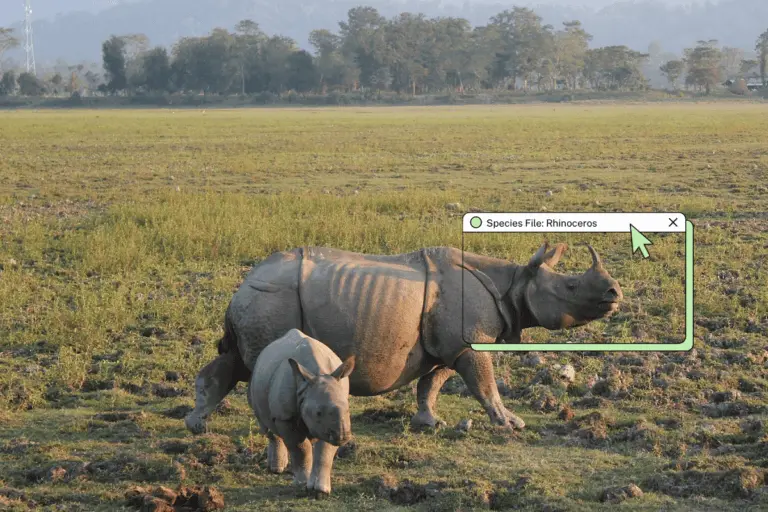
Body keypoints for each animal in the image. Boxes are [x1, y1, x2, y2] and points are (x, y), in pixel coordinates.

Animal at [185, 242, 622, 434]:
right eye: (570, 287)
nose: (614, 293)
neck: (514, 282)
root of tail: (243, 285)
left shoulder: (452, 345)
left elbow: (432, 383)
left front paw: (429, 422)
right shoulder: (467, 342)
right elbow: (485, 385)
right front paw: (510, 424)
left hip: (262, 301)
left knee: (235, 362)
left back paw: (197, 423)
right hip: (272, 300)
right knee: (263, 364)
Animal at [247, 328, 355, 496]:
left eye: (348, 409)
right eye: (318, 413)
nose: (343, 436)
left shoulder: (329, 424)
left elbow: (325, 451)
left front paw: (320, 490)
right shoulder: (285, 417)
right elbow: (300, 448)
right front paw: (302, 483)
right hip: (257, 378)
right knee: (267, 424)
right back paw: (276, 469)